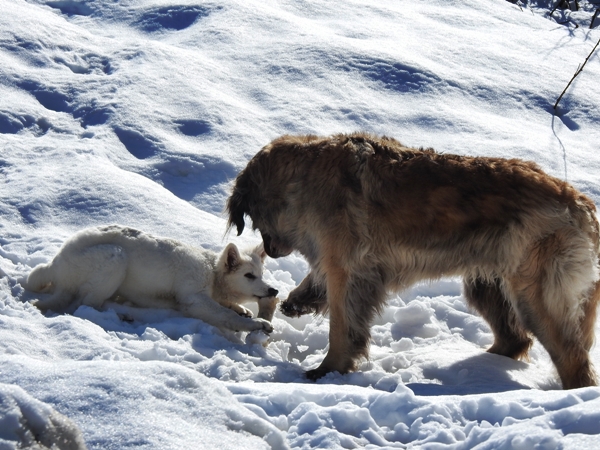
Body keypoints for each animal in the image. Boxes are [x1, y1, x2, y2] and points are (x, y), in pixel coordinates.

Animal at [22, 227, 278, 332]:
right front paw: (257, 323)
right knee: (84, 305)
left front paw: (242, 310)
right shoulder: (193, 298)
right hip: (116, 258)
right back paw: (122, 314)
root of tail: (56, 263)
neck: (213, 274)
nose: (274, 291)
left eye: (261, 275)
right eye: (248, 276)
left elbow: (228, 307)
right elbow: (225, 315)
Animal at [226, 132, 600, 388]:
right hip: (487, 282)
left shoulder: (346, 270)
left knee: (572, 359)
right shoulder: (351, 268)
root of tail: (581, 203)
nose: (271, 249)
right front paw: (298, 301)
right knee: (515, 339)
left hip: (534, 295)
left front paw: (327, 370)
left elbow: (342, 328)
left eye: (256, 222)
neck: (302, 177)